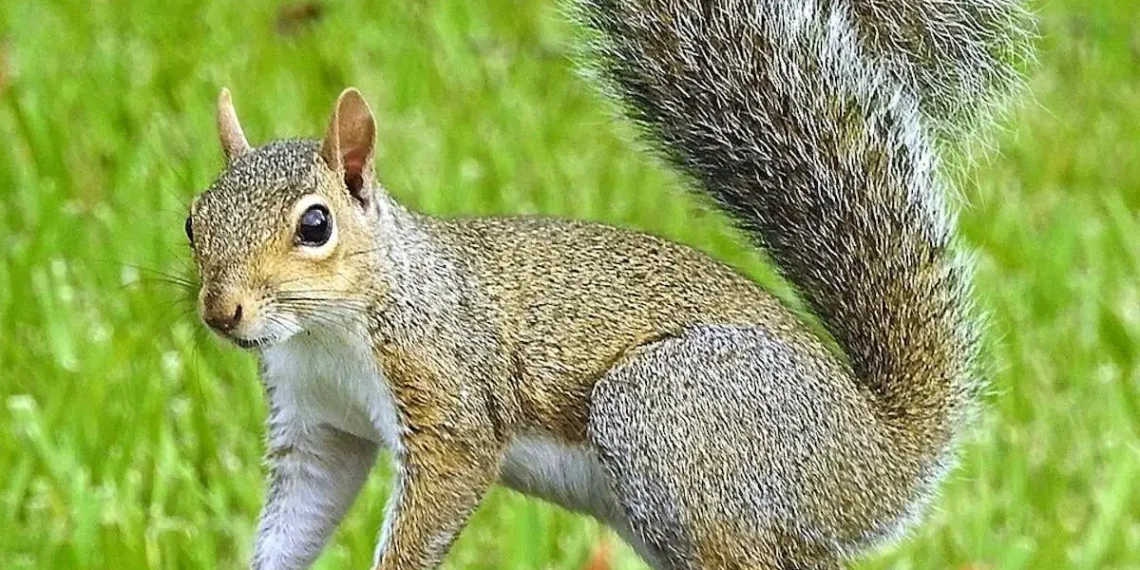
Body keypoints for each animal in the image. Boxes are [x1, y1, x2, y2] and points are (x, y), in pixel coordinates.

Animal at [185, 0, 1031, 568]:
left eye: (315, 225)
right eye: (194, 220)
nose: (222, 312)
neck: (326, 331)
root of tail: (879, 457)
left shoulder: (445, 389)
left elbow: (447, 480)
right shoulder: (317, 426)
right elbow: (304, 507)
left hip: (674, 417)